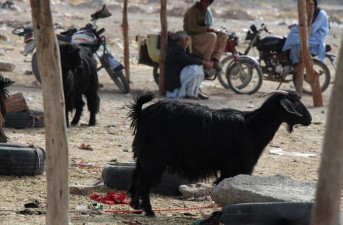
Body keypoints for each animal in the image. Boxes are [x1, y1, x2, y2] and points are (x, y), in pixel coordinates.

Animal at [127, 89, 314, 216]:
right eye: (294, 103)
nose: (309, 119)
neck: (252, 126)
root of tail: (142, 113)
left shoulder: (229, 169)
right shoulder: (237, 167)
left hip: (143, 156)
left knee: (135, 176)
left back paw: (135, 205)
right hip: (155, 157)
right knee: (143, 181)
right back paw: (149, 211)